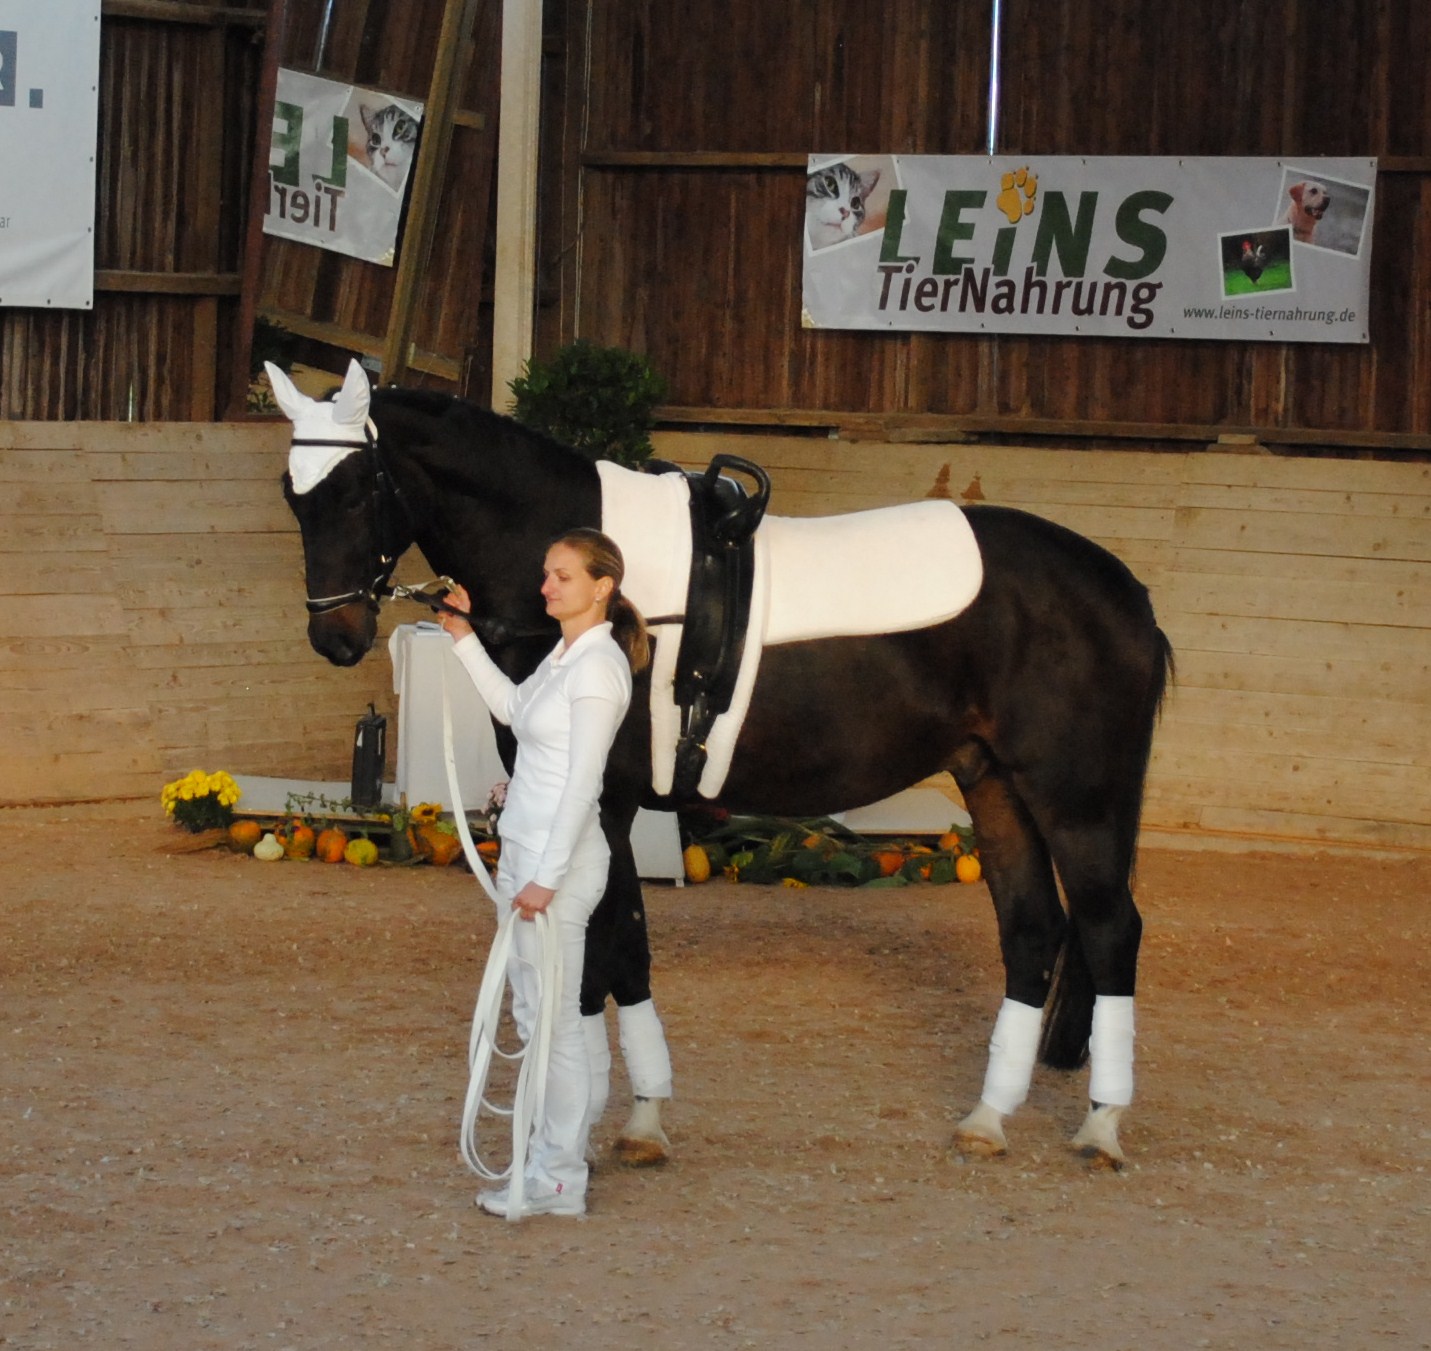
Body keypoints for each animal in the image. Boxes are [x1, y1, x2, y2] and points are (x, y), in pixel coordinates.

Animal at [269, 359, 1173, 1170]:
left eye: (356, 489)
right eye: (292, 491)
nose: (335, 635)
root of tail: (1122, 591)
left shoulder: (601, 800)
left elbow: (612, 948)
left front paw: (617, 1121)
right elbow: (614, 948)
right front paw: (623, 1115)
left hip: (1076, 798)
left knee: (1108, 927)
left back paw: (1100, 1128)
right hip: (994, 783)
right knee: (1032, 930)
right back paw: (987, 1119)